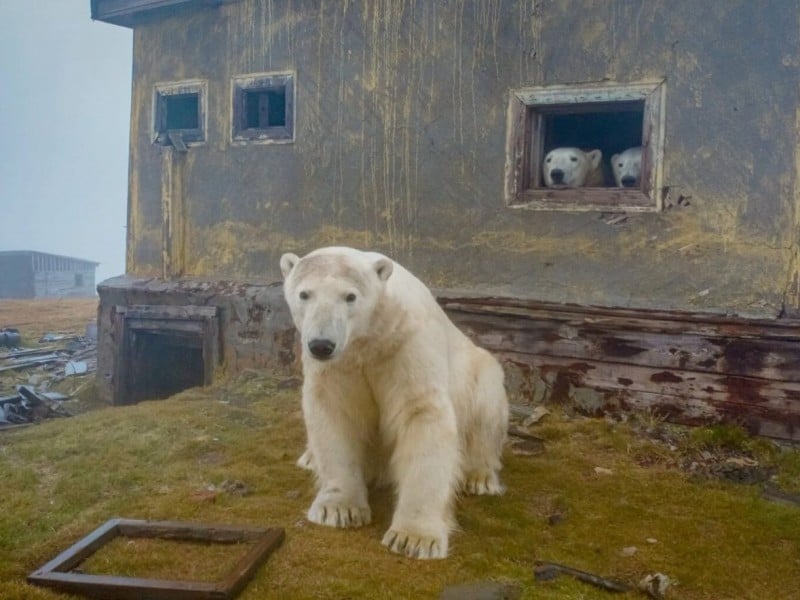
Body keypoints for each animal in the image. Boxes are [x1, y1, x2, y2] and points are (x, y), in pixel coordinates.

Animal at [280, 247, 506, 556]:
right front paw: (338, 510)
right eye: (304, 294)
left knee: (486, 407)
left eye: (350, 296)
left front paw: (414, 538)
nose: (322, 345)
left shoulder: (406, 344)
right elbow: (334, 413)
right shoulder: (339, 366)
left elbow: (421, 413)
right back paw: (310, 458)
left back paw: (480, 477)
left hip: (478, 371)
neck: (370, 338)